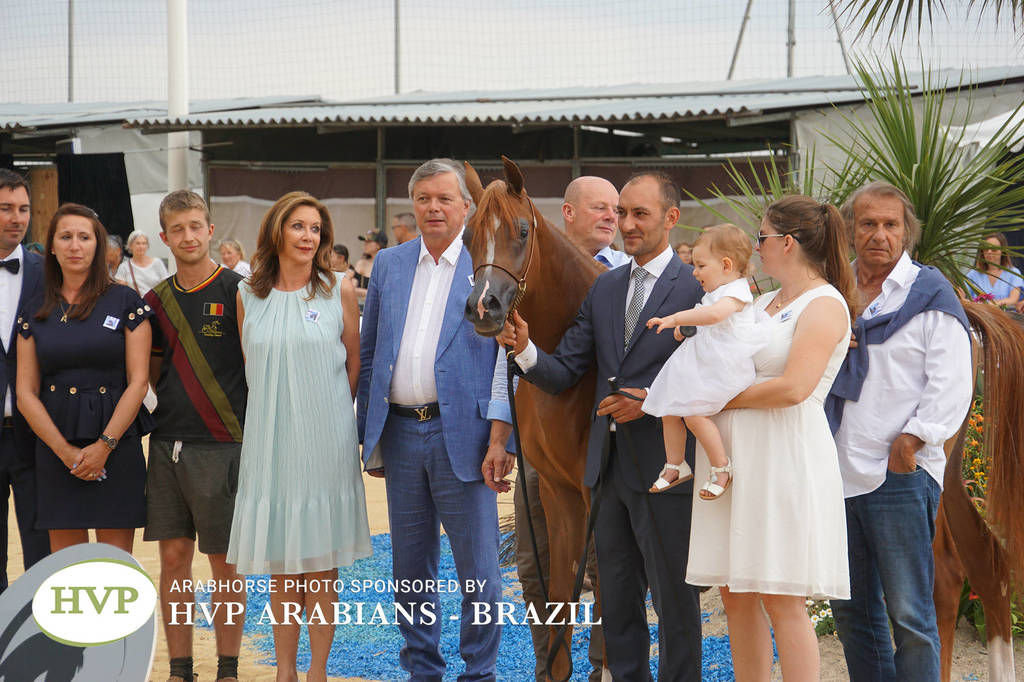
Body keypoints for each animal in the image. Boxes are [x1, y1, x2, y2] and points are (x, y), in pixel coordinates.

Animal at [461, 156, 604, 680]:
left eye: (522, 230)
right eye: (468, 235)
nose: (484, 306)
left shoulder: (596, 493)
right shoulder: (559, 492)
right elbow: (561, 596)